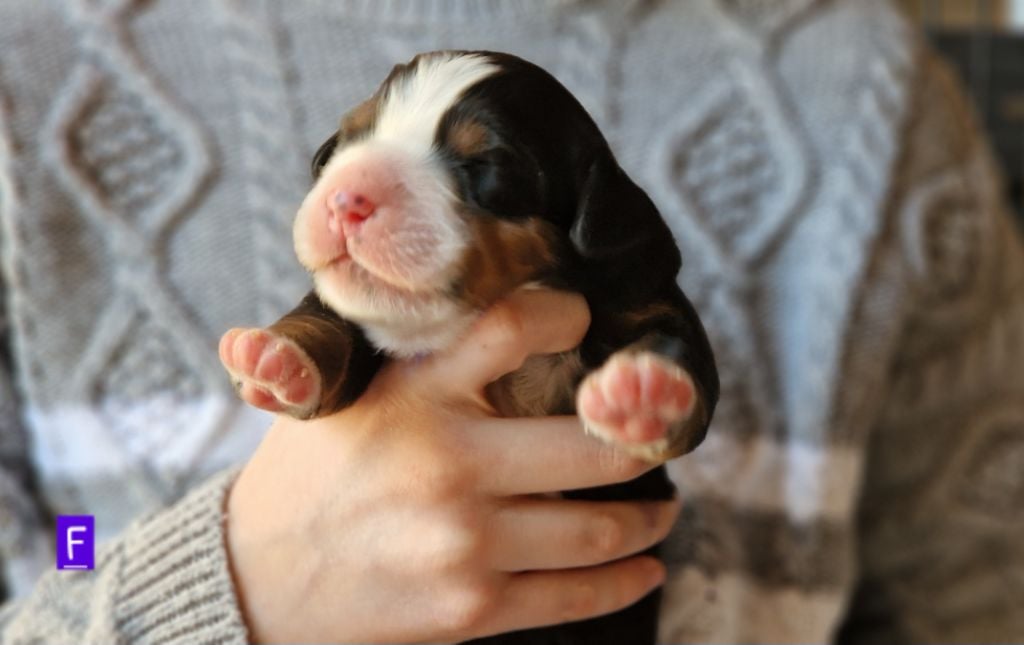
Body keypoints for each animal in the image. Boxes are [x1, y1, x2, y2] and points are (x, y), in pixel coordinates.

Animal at [220, 50, 718, 644]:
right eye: (352, 137)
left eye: (485, 164)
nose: (346, 198)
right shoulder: (351, 321)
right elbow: (328, 324)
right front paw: (275, 360)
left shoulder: (646, 296)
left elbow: (679, 354)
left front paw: (643, 393)